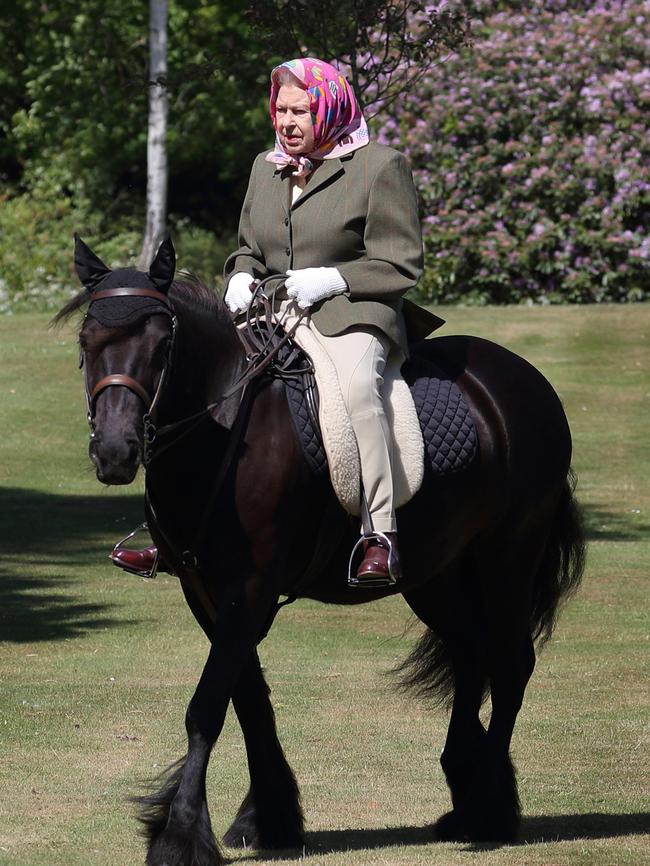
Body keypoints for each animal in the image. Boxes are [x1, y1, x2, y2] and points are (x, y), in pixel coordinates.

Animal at [60, 238, 584, 864]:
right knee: (469, 653)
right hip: (435, 573)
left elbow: (207, 707)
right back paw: (465, 790)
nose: (115, 452)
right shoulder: (206, 590)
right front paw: (269, 818)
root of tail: (522, 380)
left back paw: (489, 810)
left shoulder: (250, 588)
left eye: (163, 346)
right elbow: (249, 701)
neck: (224, 426)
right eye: (86, 343)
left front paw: (181, 834)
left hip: (508, 556)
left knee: (508, 665)